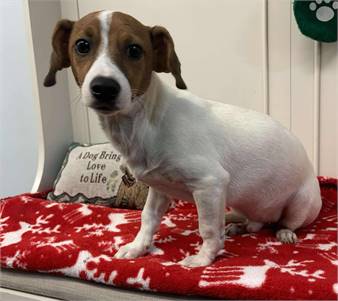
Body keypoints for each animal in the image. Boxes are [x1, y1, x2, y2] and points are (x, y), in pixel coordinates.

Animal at [45, 10, 322, 266]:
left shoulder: (210, 183)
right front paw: (138, 247)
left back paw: (283, 232)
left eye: (134, 50)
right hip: (242, 203)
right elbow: (147, 219)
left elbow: (208, 229)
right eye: (82, 45)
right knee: (255, 223)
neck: (145, 123)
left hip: (300, 204)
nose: (104, 88)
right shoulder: (159, 189)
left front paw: (204, 258)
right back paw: (238, 224)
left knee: (284, 223)